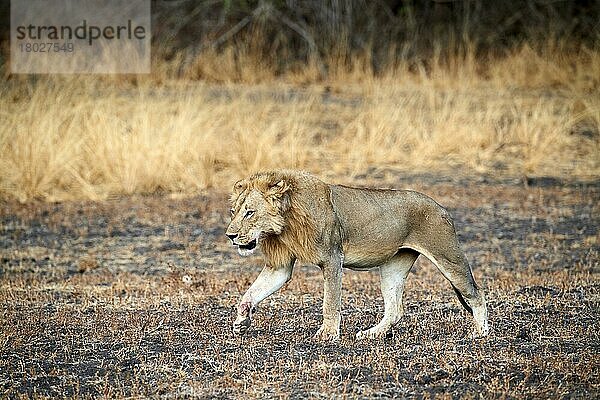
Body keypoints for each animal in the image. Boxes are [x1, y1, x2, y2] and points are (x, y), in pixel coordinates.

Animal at [225, 170, 488, 340]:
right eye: (233, 211)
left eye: (249, 212)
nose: (230, 235)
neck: (285, 224)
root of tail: (441, 207)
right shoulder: (280, 265)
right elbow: (251, 293)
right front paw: (241, 322)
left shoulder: (332, 258)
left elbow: (330, 301)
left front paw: (328, 334)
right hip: (394, 266)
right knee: (395, 309)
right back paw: (372, 334)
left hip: (448, 257)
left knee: (477, 294)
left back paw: (481, 333)